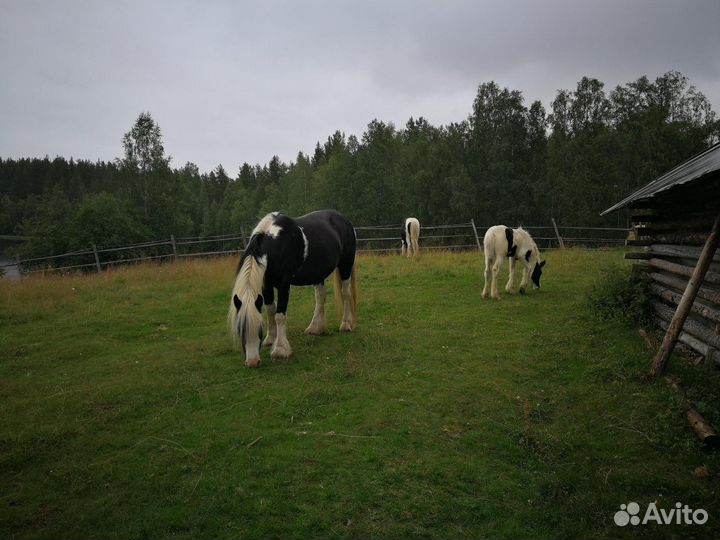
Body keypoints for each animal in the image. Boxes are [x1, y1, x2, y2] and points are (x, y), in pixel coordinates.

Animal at [228, 210, 358, 368]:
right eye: (240, 330)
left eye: (259, 329)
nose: (252, 362)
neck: (275, 242)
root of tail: (345, 220)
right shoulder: (266, 285)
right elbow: (270, 311)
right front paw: (270, 339)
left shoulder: (284, 284)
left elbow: (279, 315)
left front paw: (280, 350)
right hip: (318, 272)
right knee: (320, 296)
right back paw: (315, 328)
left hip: (346, 264)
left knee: (345, 293)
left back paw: (345, 324)